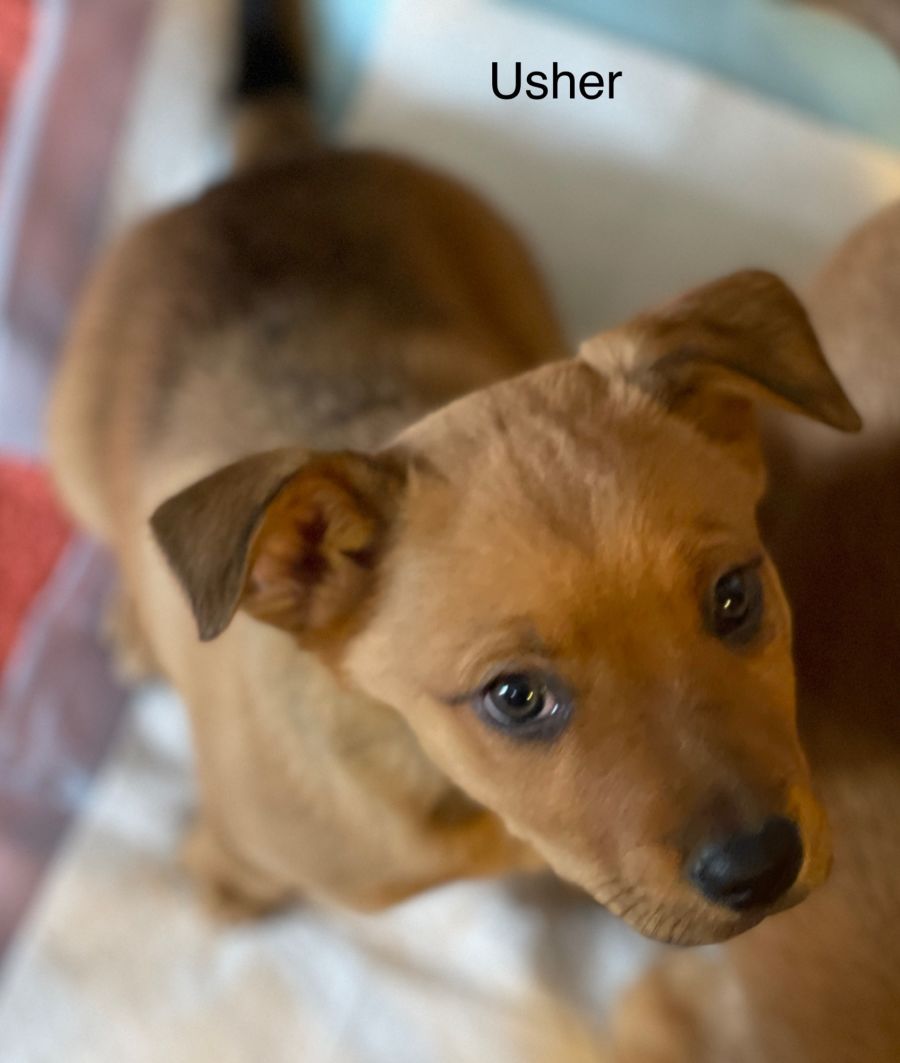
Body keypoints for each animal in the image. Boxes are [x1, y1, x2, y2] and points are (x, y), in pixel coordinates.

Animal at [48, 0, 879, 1048]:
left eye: (735, 597)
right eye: (514, 698)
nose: (762, 869)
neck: (465, 799)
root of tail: (268, 168)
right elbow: (240, 861)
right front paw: (230, 886)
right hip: (74, 448)